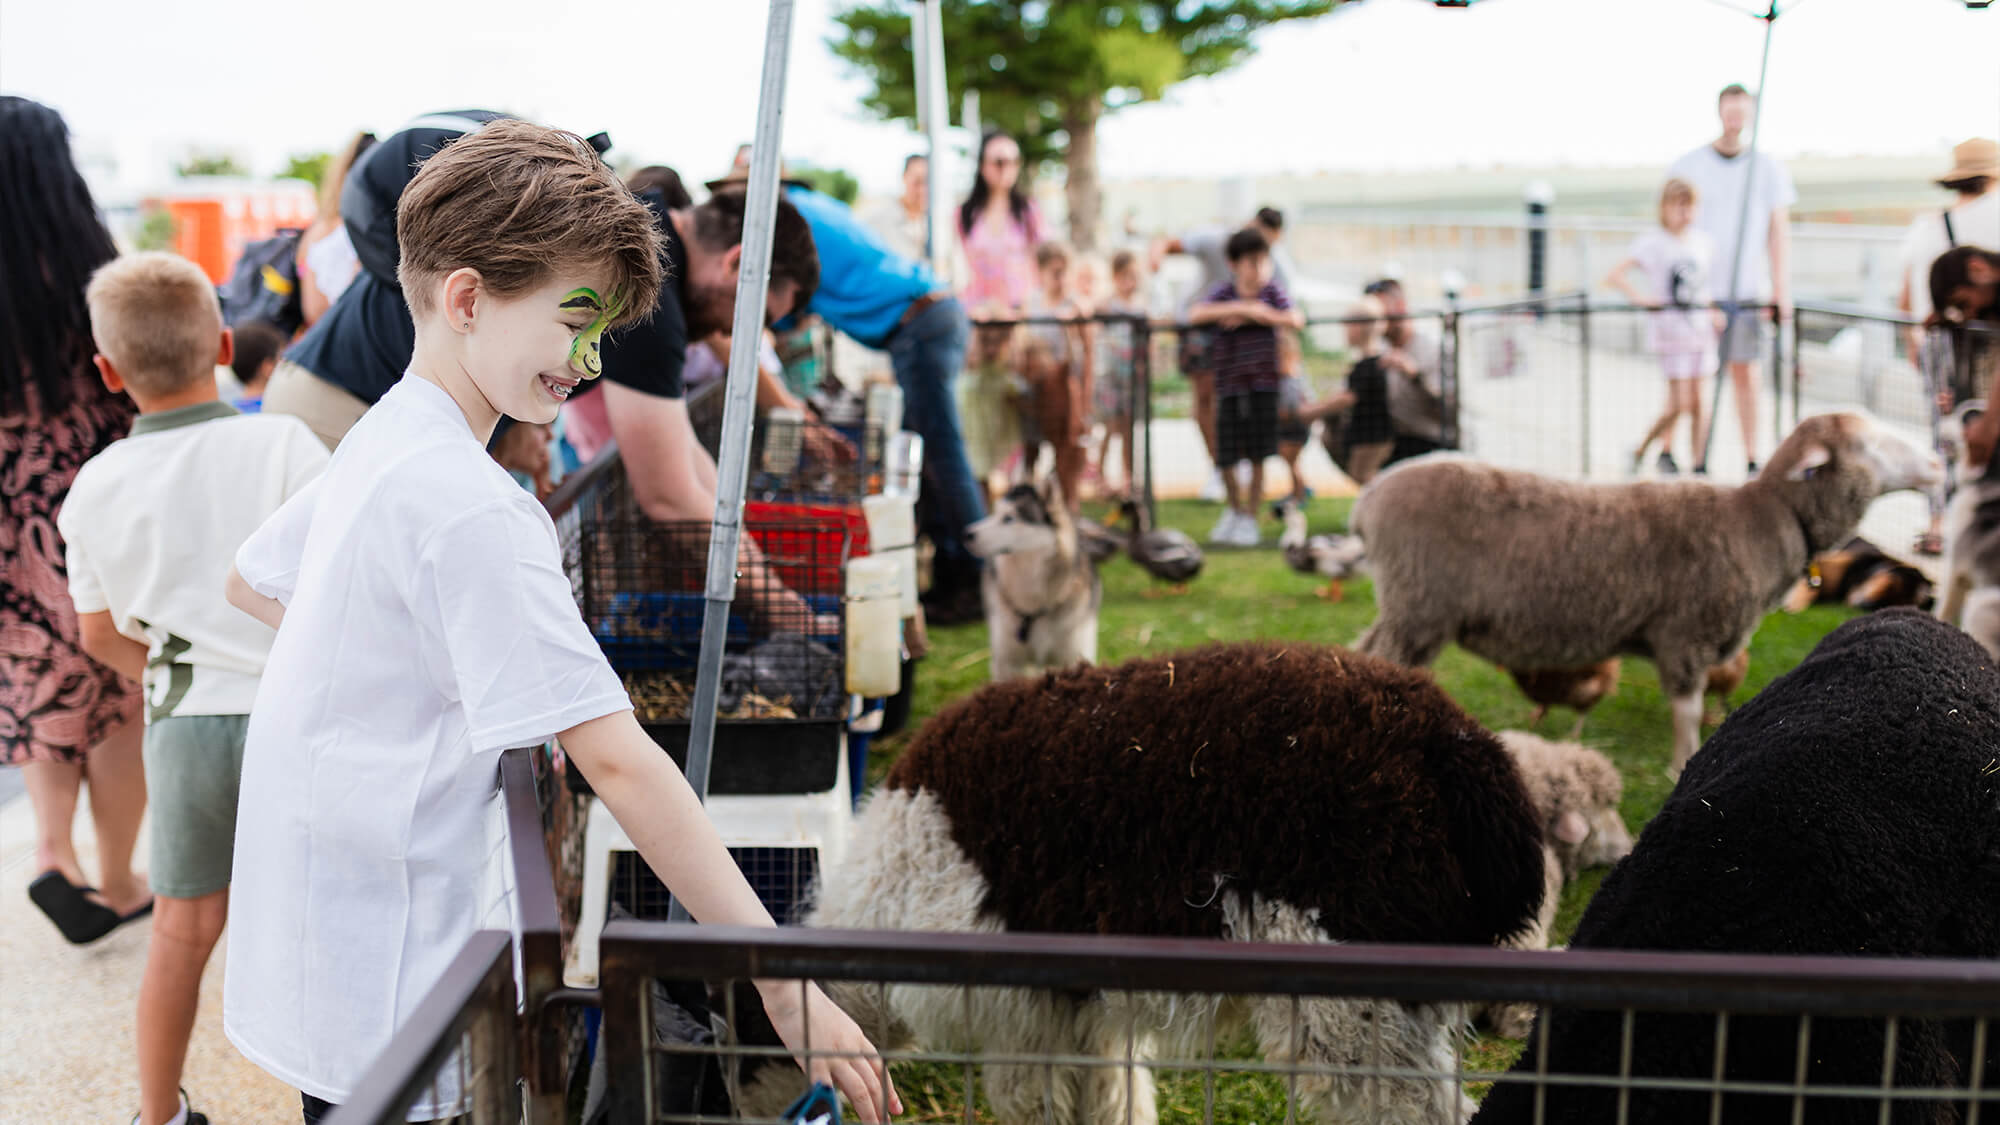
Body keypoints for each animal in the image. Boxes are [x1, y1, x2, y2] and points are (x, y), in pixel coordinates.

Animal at [1344, 412, 1936, 768]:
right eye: (1869, 444)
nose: (1934, 461)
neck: (1766, 519)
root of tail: (1368, 500)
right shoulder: (1685, 636)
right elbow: (1688, 714)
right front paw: (1681, 766)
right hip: (1420, 606)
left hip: (1403, 607)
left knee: (1362, 653)